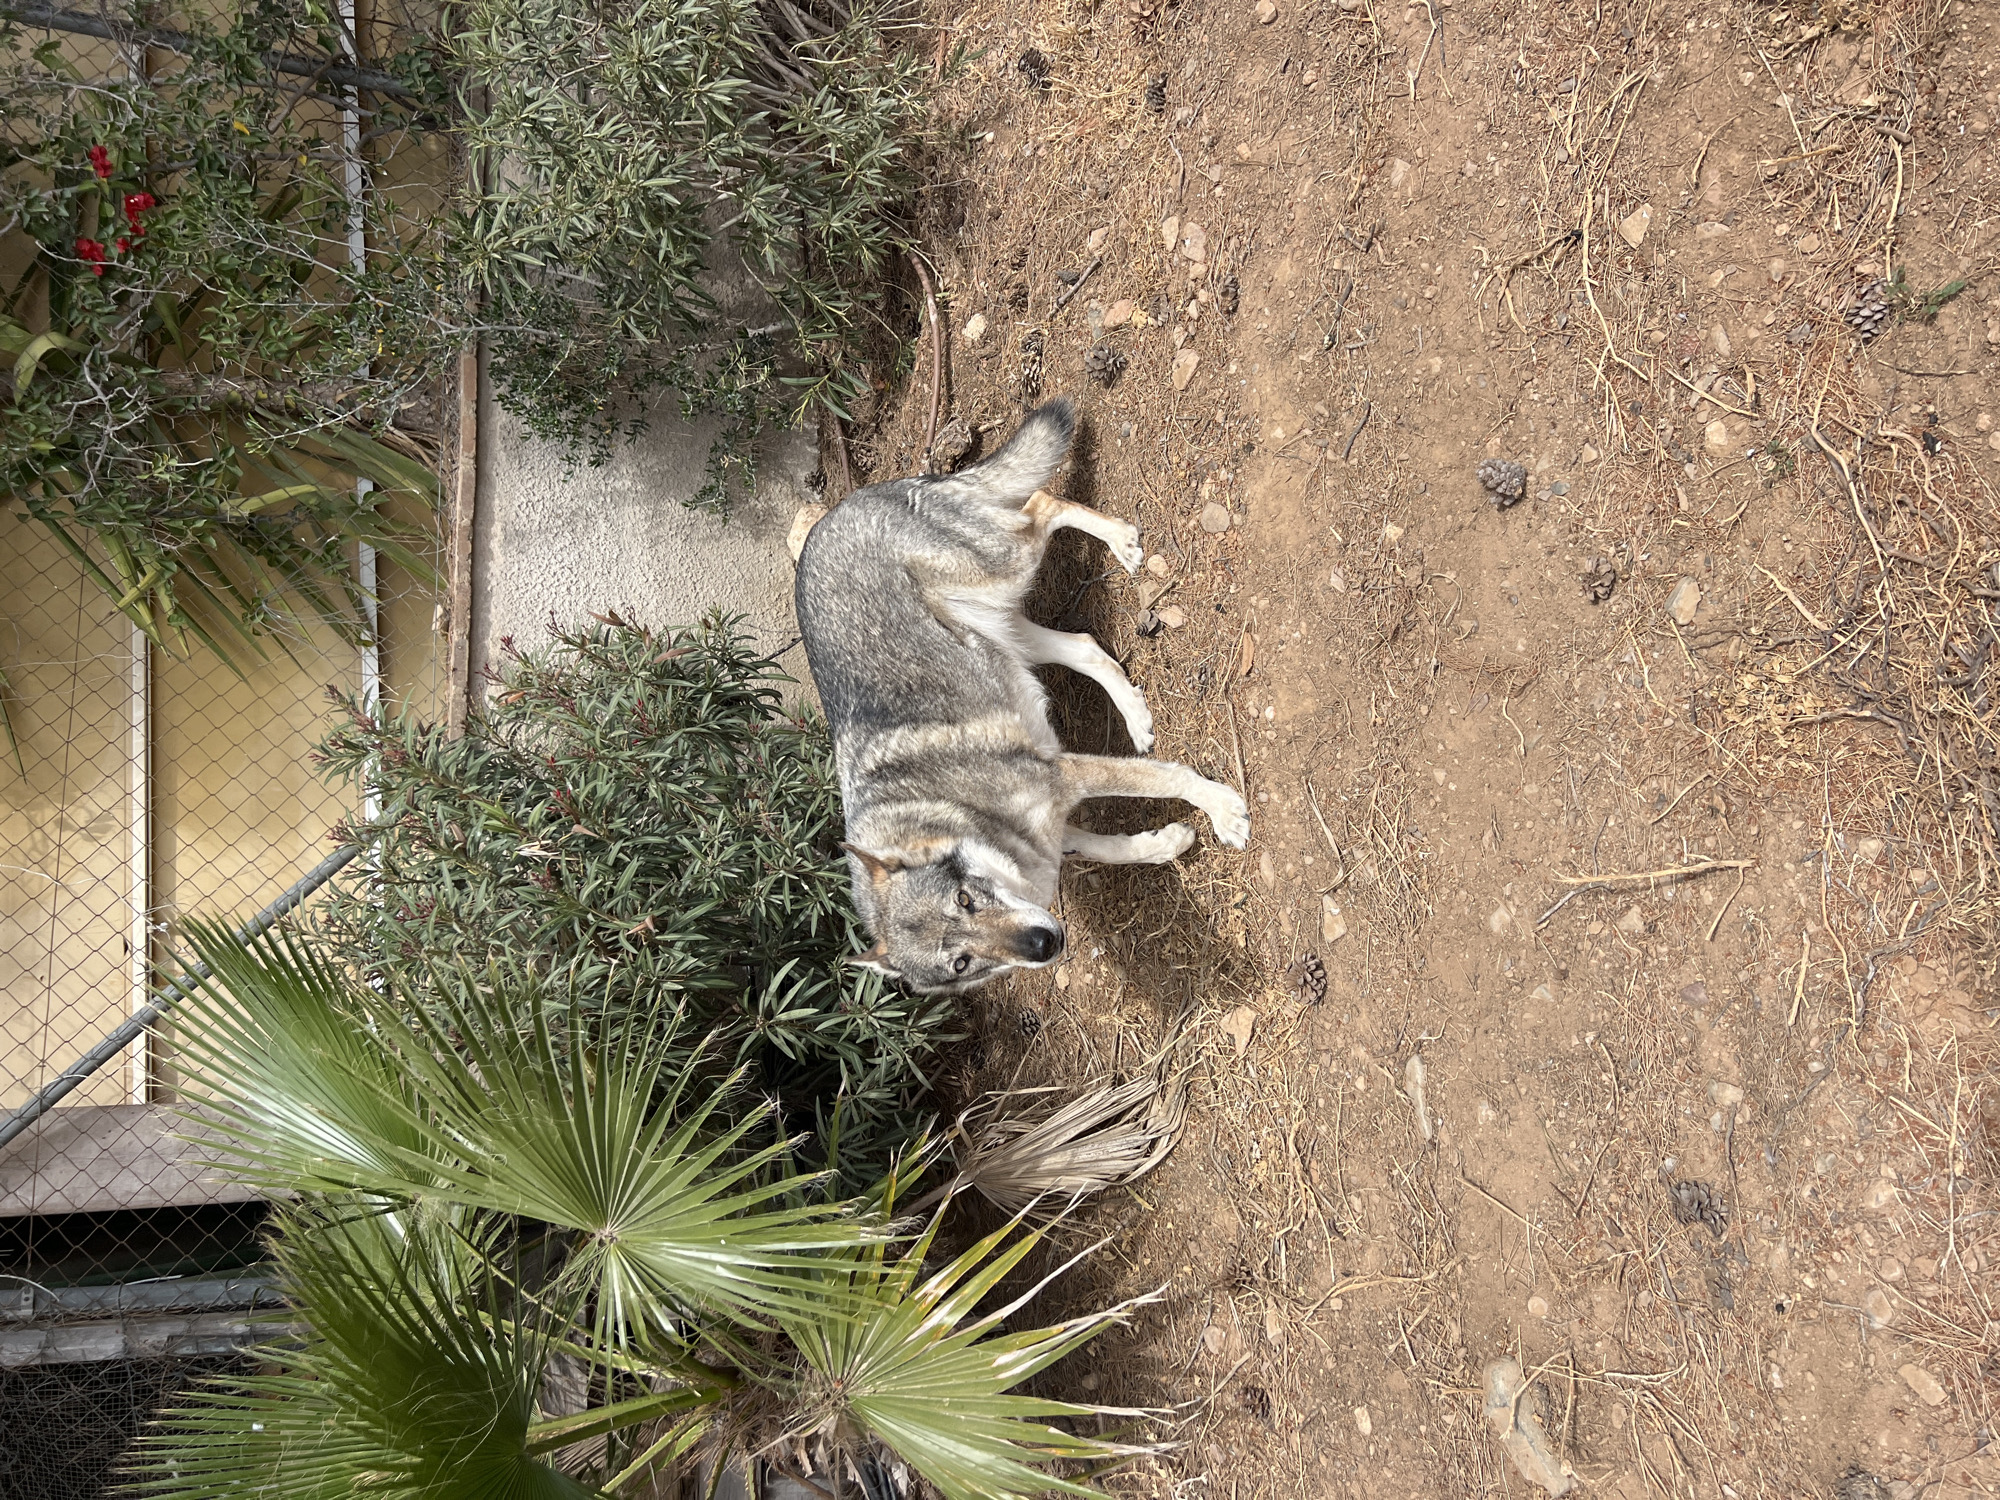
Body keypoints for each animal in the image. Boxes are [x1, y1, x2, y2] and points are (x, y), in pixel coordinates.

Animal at [794, 397, 1250, 994]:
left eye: (965, 900)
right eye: (961, 962)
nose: (1044, 945)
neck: (950, 816)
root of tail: (843, 505)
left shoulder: (1066, 774)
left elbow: (1170, 778)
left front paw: (1224, 812)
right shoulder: (1050, 834)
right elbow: (1110, 846)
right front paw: (1165, 843)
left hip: (1005, 568)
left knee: (1042, 504)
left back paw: (1121, 541)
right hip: (1004, 633)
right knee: (1086, 647)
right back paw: (1136, 717)